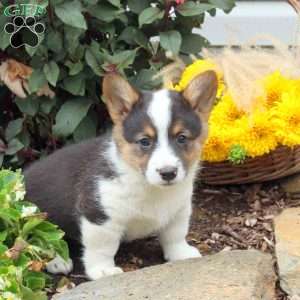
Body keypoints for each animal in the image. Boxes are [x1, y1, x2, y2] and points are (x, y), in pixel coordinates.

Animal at [23, 71, 216, 280]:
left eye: (182, 138)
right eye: (145, 141)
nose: (168, 173)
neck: (147, 185)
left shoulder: (179, 209)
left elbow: (175, 234)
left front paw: (181, 254)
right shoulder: (99, 215)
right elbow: (103, 248)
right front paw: (103, 270)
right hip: (35, 216)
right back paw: (58, 261)